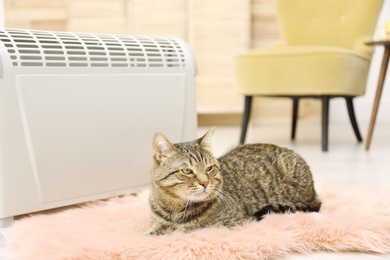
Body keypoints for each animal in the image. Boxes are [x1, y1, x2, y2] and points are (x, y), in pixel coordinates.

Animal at [145, 127, 322, 235]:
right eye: (187, 171)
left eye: (209, 168)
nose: (205, 183)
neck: (174, 208)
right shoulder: (158, 222)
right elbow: (151, 233)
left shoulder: (226, 223)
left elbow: (183, 231)